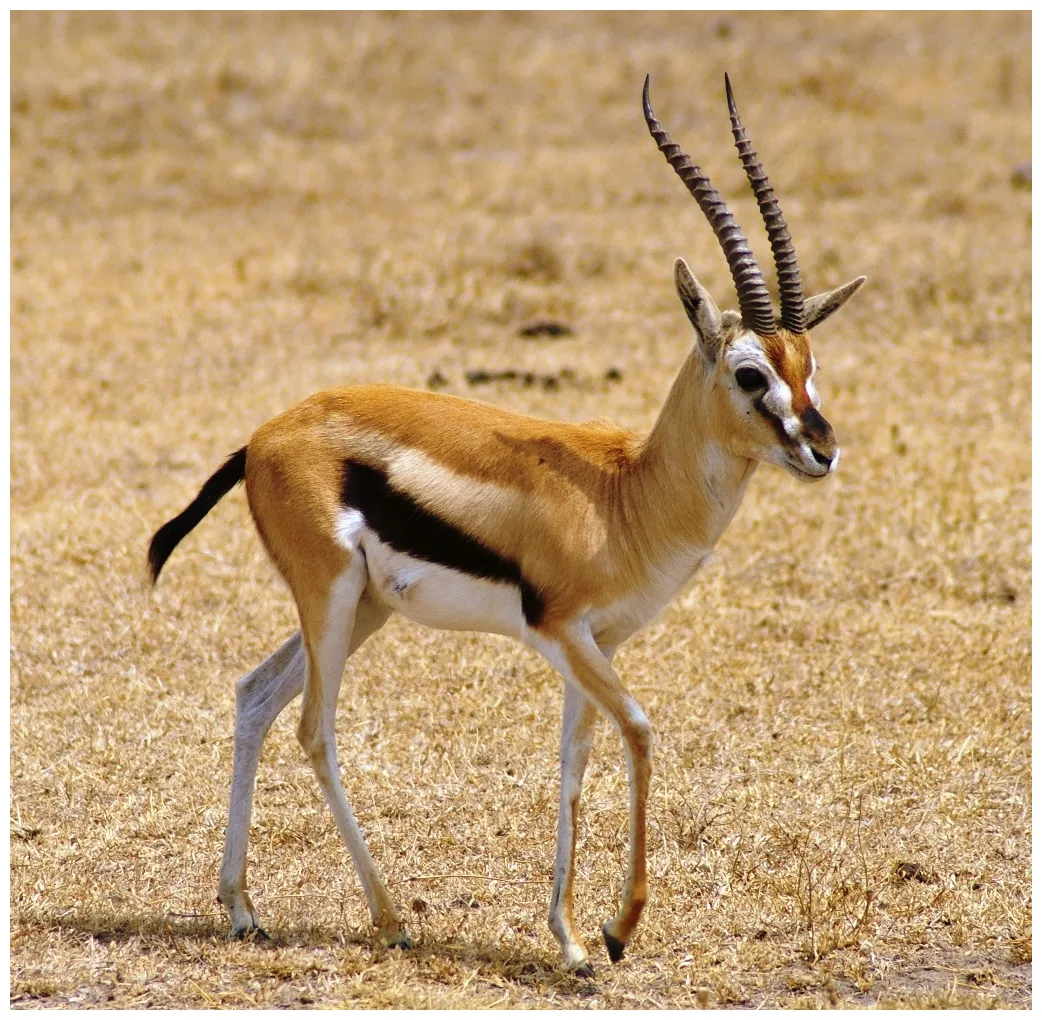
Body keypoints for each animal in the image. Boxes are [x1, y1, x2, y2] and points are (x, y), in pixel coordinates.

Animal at [148, 75, 864, 975]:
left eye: (809, 367)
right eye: (749, 373)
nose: (822, 450)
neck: (624, 493)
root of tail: (264, 435)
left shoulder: (598, 643)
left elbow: (573, 766)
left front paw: (570, 939)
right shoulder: (560, 631)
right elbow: (638, 730)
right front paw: (617, 930)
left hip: (364, 608)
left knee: (253, 697)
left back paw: (243, 910)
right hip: (332, 597)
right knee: (314, 728)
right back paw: (391, 919)